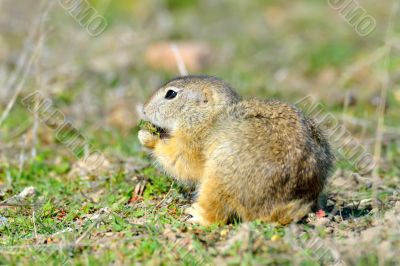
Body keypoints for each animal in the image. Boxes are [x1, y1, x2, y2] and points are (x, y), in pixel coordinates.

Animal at [139, 75, 332, 227]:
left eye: (171, 94)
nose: (144, 109)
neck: (209, 118)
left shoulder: (194, 141)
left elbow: (182, 160)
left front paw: (146, 136)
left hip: (218, 179)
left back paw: (196, 214)